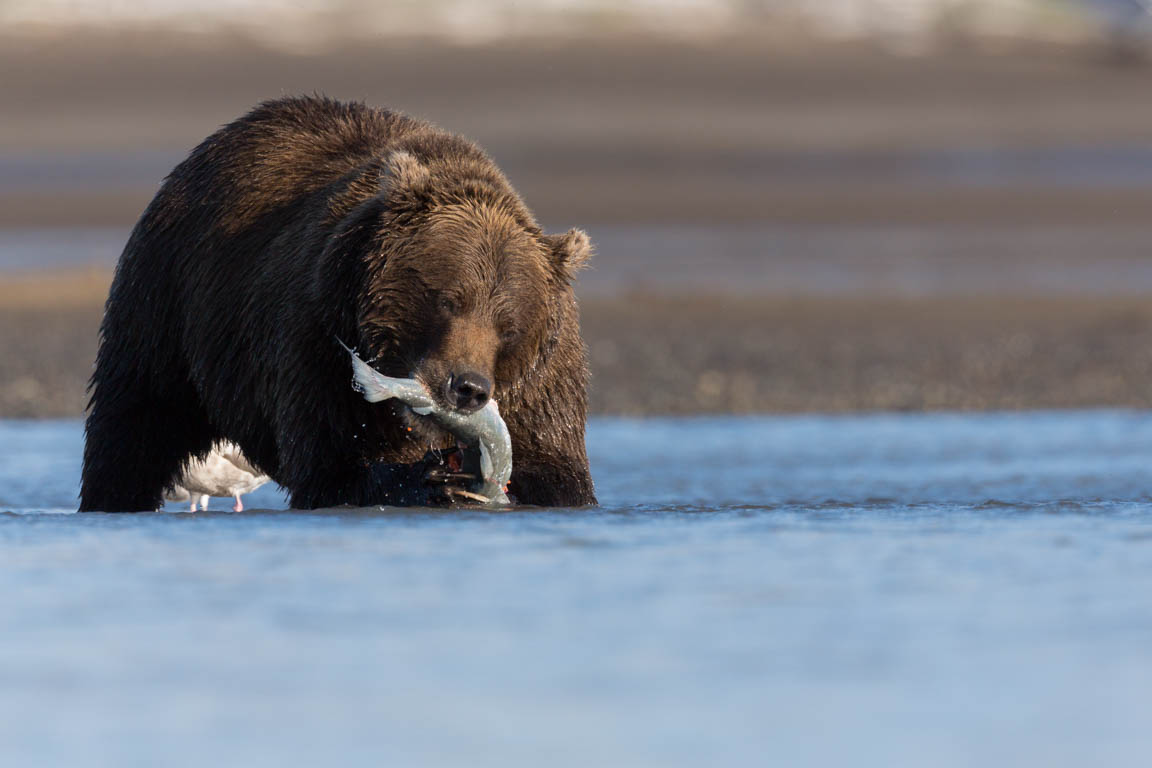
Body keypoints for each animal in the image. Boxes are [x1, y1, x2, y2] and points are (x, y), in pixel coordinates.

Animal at [81, 94, 599, 511]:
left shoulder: (543, 385)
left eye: (509, 325)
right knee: (133, 424)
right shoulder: (319, 336)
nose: (467, 388)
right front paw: (431, 480)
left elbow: (557, 472)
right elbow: (330, 465)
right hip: (169, 304)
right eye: (449, 300)